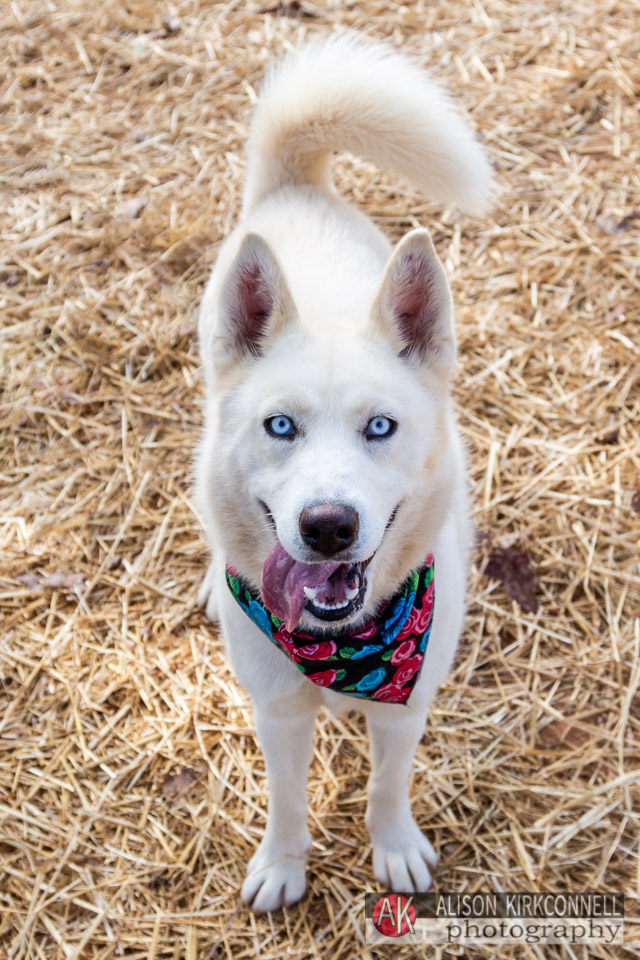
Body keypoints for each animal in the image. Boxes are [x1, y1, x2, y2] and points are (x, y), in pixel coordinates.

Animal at [198, 31, 492, 916]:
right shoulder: (277, 712)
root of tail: (300, 184)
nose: (328, 527)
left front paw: (393, 849)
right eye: (281, 427)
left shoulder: (405, 708)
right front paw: (283, 864)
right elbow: (287, 800)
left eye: (379, 427)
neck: (342, 645)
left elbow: (386, 789)